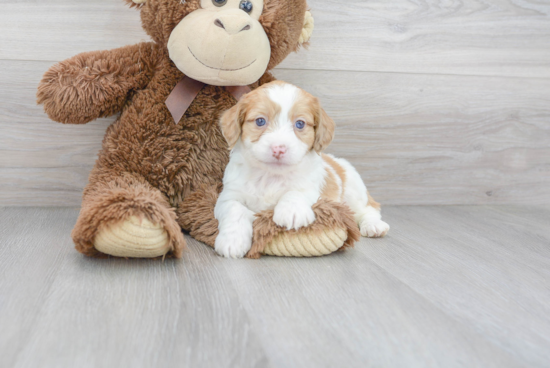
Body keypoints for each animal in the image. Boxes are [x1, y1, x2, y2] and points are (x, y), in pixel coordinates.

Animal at [213, 81, 390, 258]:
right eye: (260, 121)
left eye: (300, 124)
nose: (279, 149)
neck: (271, 175)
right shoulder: (228, 196)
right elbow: (235, 210)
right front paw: (232, 241)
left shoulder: (311, 188)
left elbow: (296, 191)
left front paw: (292, 212)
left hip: (354, 192)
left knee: (370, 208)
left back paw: (374, 225)